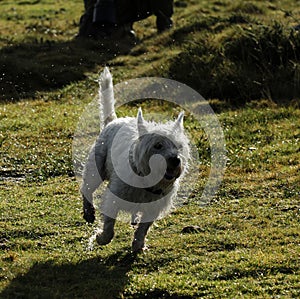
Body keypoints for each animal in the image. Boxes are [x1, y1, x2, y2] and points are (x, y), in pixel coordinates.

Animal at [81, 68, 190, 253]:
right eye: (157, 145)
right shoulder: (114, 197)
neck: (147, 180)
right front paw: (101, 237)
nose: (175, 160)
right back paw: (88, 211)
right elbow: (109, 225)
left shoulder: (153, 208)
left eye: (178, 146)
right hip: (96, 168)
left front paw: (138, 245)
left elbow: (143, 228)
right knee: (86, 188)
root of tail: (113, 120)